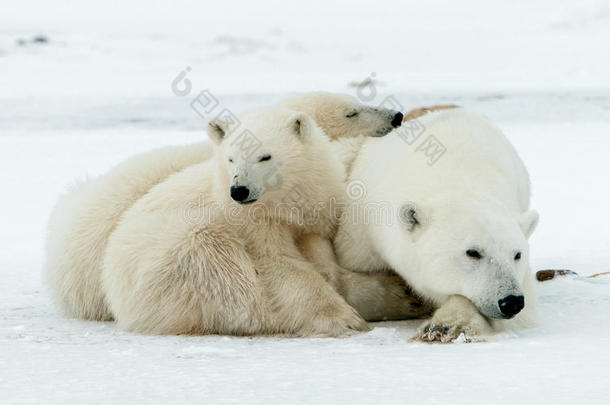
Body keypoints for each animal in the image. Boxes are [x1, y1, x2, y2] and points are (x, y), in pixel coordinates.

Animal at [334, 108, 540, 340]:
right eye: (473, 252)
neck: (452, 181)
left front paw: (445, 325)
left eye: (517, 254)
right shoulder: (364, 234)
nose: (511, 301)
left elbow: (527, 311)